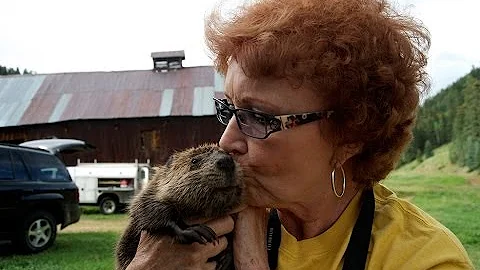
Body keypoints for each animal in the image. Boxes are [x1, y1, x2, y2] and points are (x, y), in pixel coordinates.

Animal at [115, 144, 244, 270]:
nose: (226, 161)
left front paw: (226, 259)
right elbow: (147, 210)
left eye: (228, 153)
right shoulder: (151, 192)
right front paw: (195, 230)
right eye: (194, 160)